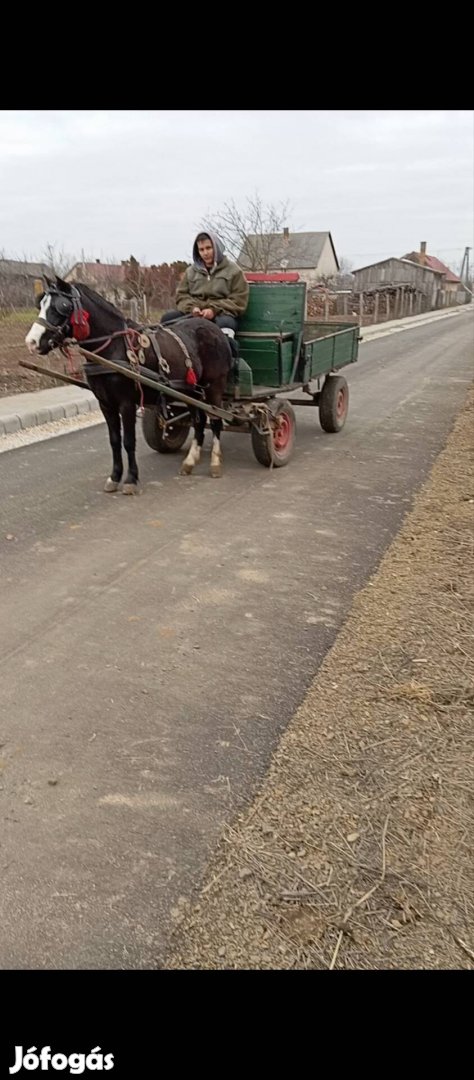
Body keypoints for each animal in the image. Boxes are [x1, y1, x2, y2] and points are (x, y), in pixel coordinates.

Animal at [25, 274, 234, 494]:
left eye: (63, 306)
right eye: (40, 303)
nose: (31, 342)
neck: (113, 348)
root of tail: (213, 328)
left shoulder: (126, 403)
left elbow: (128, 441)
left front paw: (131, 479)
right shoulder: (106, 404)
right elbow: (115, 441)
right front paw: (115, 476)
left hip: (214, 387)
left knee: (216, 420)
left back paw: (215, 463)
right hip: (191, 391)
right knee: (198, 420)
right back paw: (190, 461)